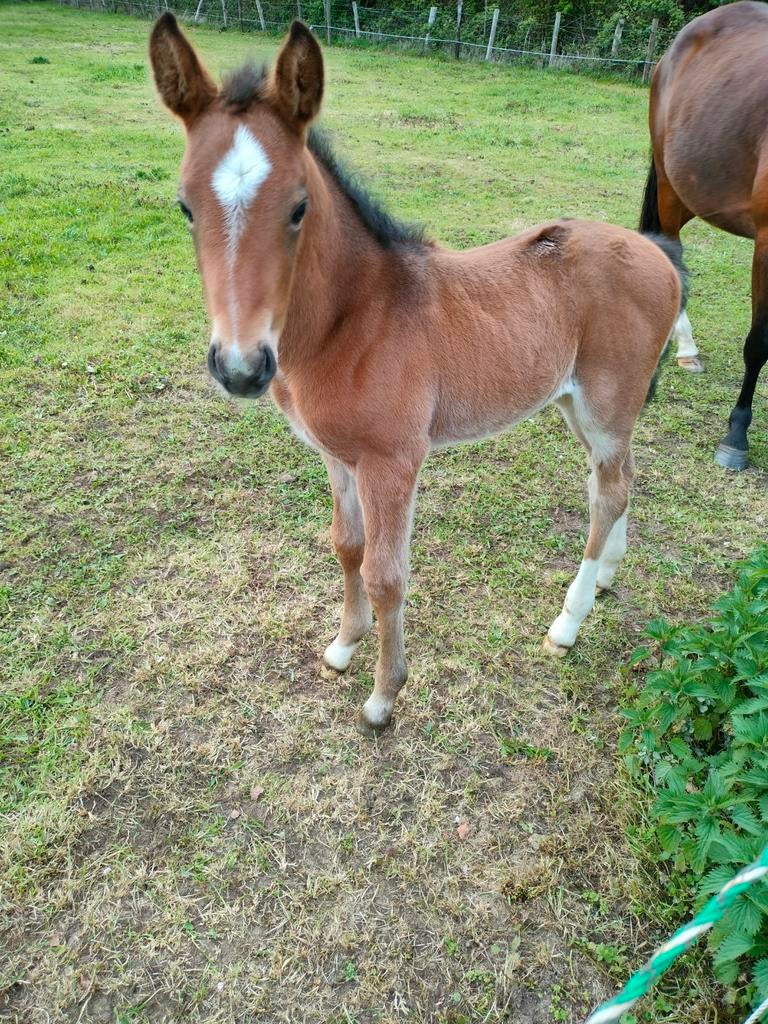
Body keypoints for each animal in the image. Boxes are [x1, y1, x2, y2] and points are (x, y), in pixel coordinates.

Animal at [149, 15, 682, 734]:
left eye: (298, 207)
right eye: (185, 206)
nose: (240, 368)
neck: (355, 319)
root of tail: (658, 254)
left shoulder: (393, 462)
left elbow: (386, 575)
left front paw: (383, 696)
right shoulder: (337, 456)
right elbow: (345, 547)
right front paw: (343, 646)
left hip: (605, 405)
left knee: (611, 491)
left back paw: (567, 624)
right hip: (580, 406)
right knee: (618, 479)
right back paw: (603, 580)